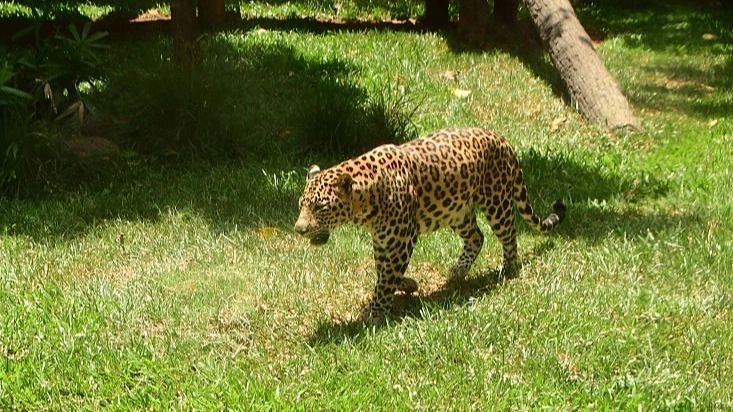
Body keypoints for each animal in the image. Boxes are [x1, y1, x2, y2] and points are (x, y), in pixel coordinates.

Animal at [294, 127, 566, 319]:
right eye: (301, 205)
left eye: (320, 207)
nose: (299, 229)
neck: (364, 203)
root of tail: (502, 139)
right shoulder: (382, 241)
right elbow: (384, 271)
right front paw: (408, 285)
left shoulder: (402, 241)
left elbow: (386, 278)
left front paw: (376, 312)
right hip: (457, 211)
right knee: (477, 237)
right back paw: (458, 272)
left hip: (496, 202)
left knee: (508, 235)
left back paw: (509, 268)